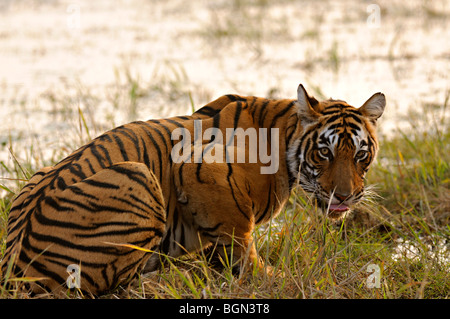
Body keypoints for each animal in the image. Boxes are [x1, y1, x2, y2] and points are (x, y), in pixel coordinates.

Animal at [0, 84, 386, 296]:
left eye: (361, 155)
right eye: (325, 152)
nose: (345, 197)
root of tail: (13, 269)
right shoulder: (199, 165)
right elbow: (242, 241)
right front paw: (268, 278)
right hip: (137, 174)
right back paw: (171, 276)